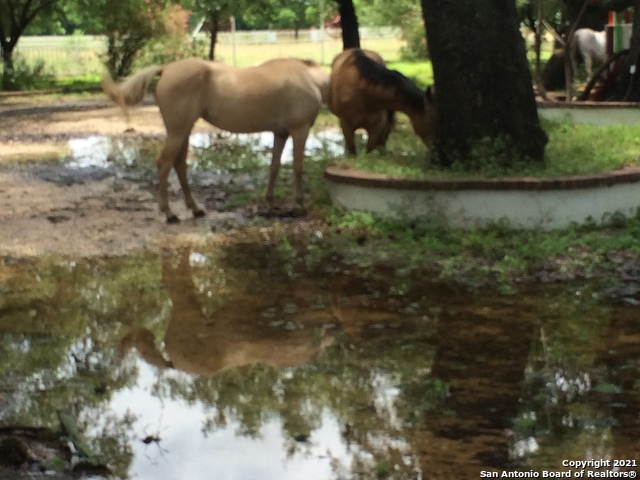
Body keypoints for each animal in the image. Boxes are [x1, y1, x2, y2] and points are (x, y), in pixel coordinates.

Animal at [103, 56, 330, 223]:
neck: (309, 79)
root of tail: (166, 69)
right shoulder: (299, 131)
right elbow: (298, 167)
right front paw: (299, 204)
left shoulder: (280, 133)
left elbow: (274, 166)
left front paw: (270, 203)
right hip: (178, 131)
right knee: (165, 163)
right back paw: (169, 213)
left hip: (183, 131)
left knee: (179, 164)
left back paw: (195, 209)